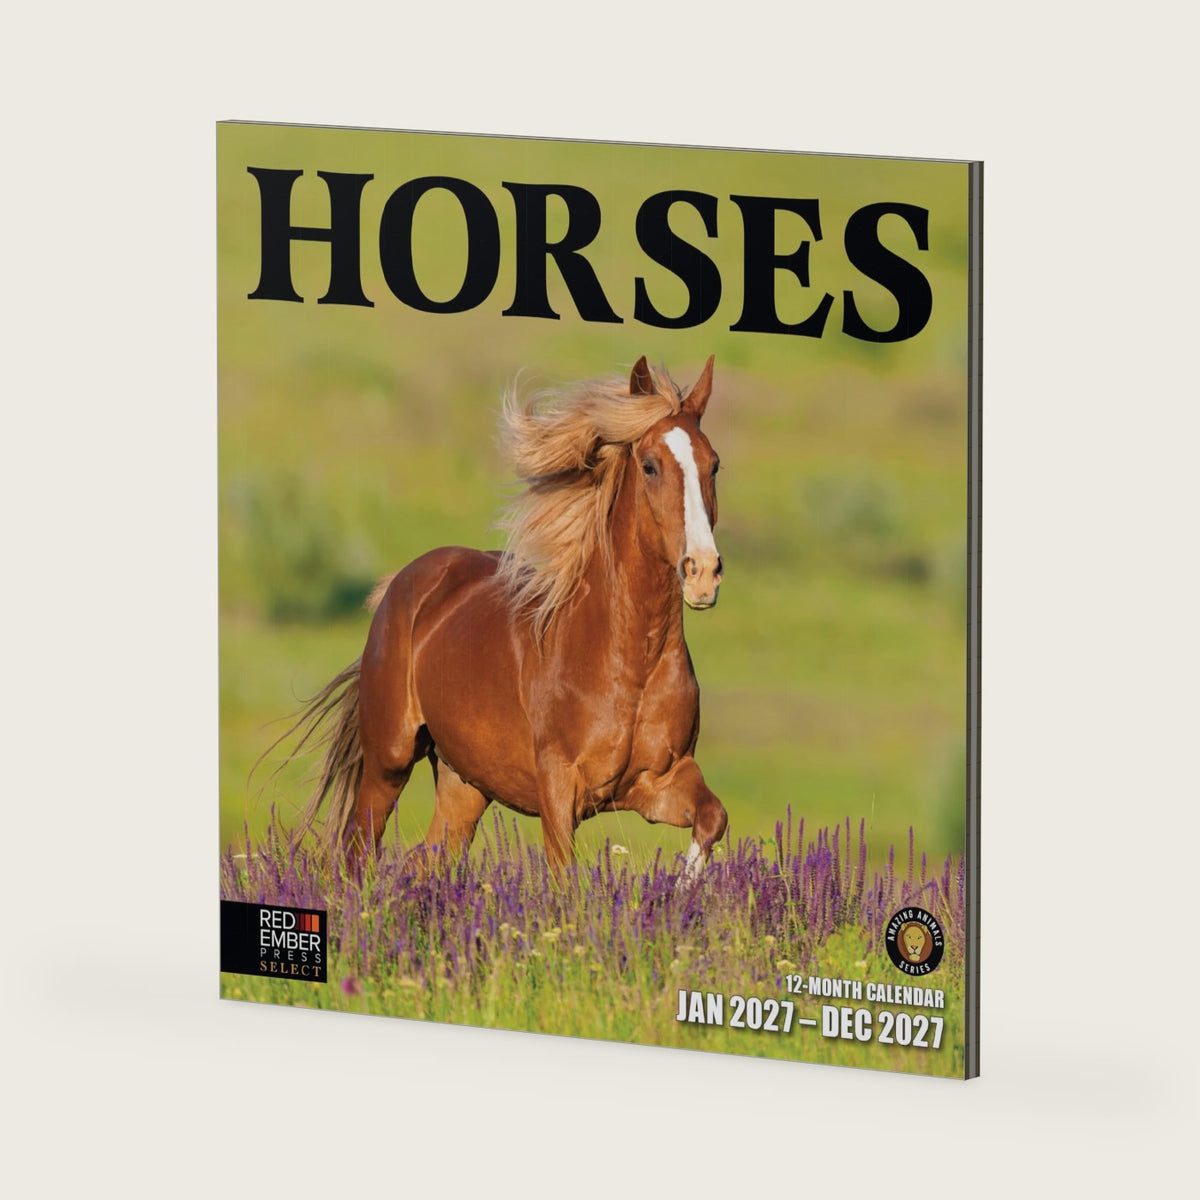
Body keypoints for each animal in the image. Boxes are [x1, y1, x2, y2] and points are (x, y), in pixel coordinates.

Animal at [283, 355, 727, 877]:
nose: (703, 573)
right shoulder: (558, 787)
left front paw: (680, 888)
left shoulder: (660, 780)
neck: (627, 661)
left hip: (464, 784)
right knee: (359, 851)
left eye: (713, 465)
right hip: (389, 761)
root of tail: (404, 584)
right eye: (651, 465)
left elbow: (712, 818)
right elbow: (564, 877)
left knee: (427, 858)